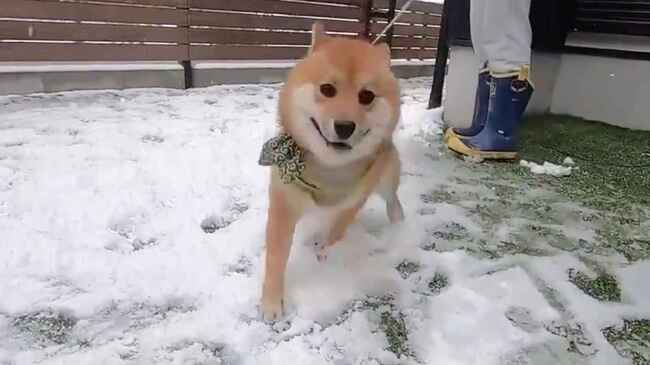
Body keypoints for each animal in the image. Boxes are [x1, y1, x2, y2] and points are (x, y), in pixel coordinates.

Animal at [260, 22, 402, 318]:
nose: (345, 126)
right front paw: (271, 303)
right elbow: (276, 257)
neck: (329, 171)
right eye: (327, 89)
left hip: (386, 173)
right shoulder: (283, 202)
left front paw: (325, 251)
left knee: (392, 197)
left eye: (366, 96)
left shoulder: (355, 199)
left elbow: (337, 229)